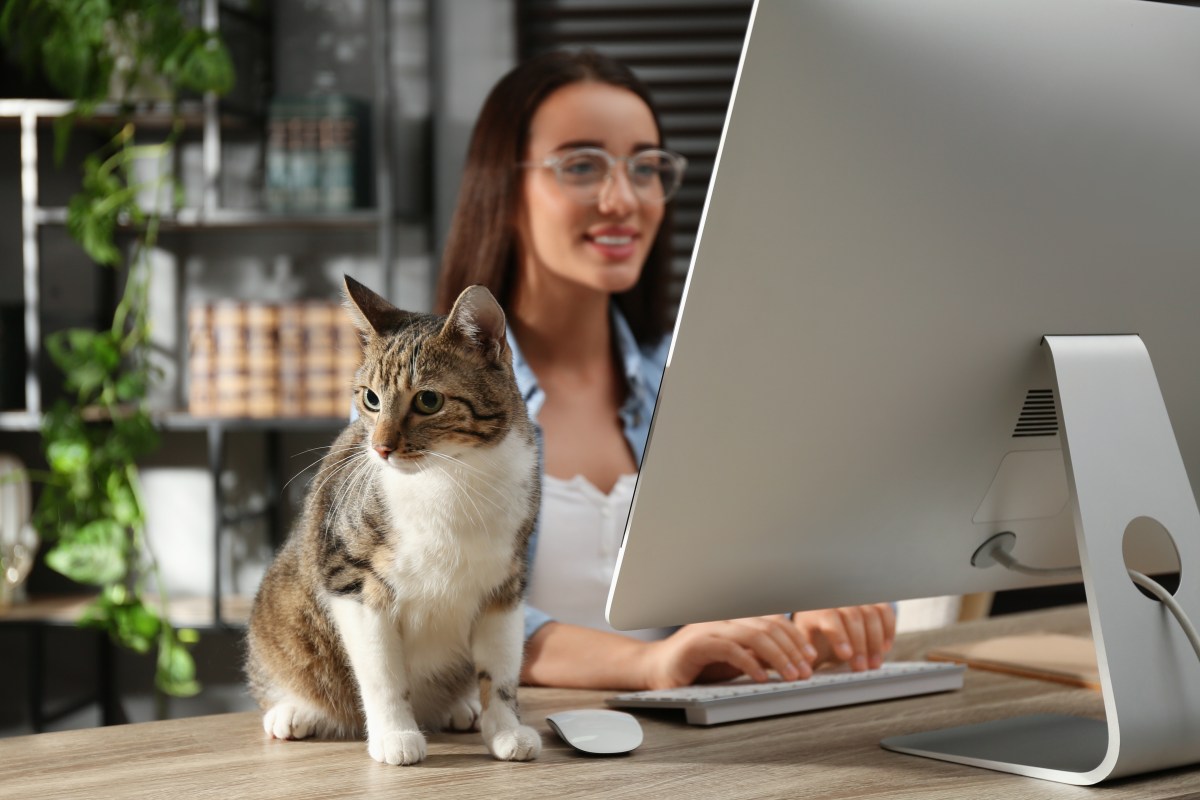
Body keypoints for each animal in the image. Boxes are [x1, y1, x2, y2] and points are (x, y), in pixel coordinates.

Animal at [244, 278, 544, 767]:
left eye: (428, 400)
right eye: (370, 398)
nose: (381, 448)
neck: (451, 478)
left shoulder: (506, 582)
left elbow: (499, 670)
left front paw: (506, 730)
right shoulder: (351, 580)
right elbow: (382, 672)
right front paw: (395, 736)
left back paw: (461, 708)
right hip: (285, 614)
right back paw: (293, 712)